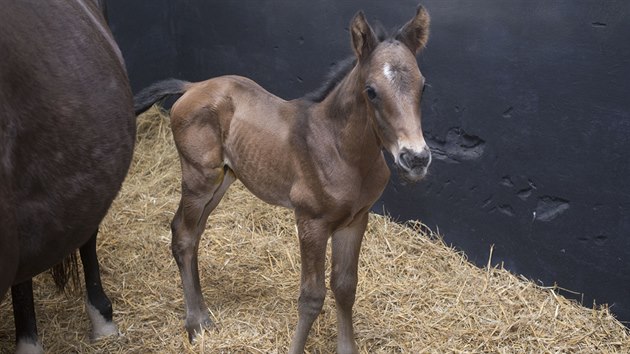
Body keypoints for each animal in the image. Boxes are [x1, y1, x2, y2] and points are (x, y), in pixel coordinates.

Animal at [134, 4, 434, 352]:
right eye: (371, 91)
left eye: (422, 86)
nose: (416, 158)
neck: (341, 149)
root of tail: (191, 86)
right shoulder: (311, 222)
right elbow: (312, 297)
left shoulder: (355, 220)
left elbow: (346, 287)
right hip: (199, 178)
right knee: (183, 233)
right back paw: (196, 322)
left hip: (224, 179)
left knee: (192, 233)